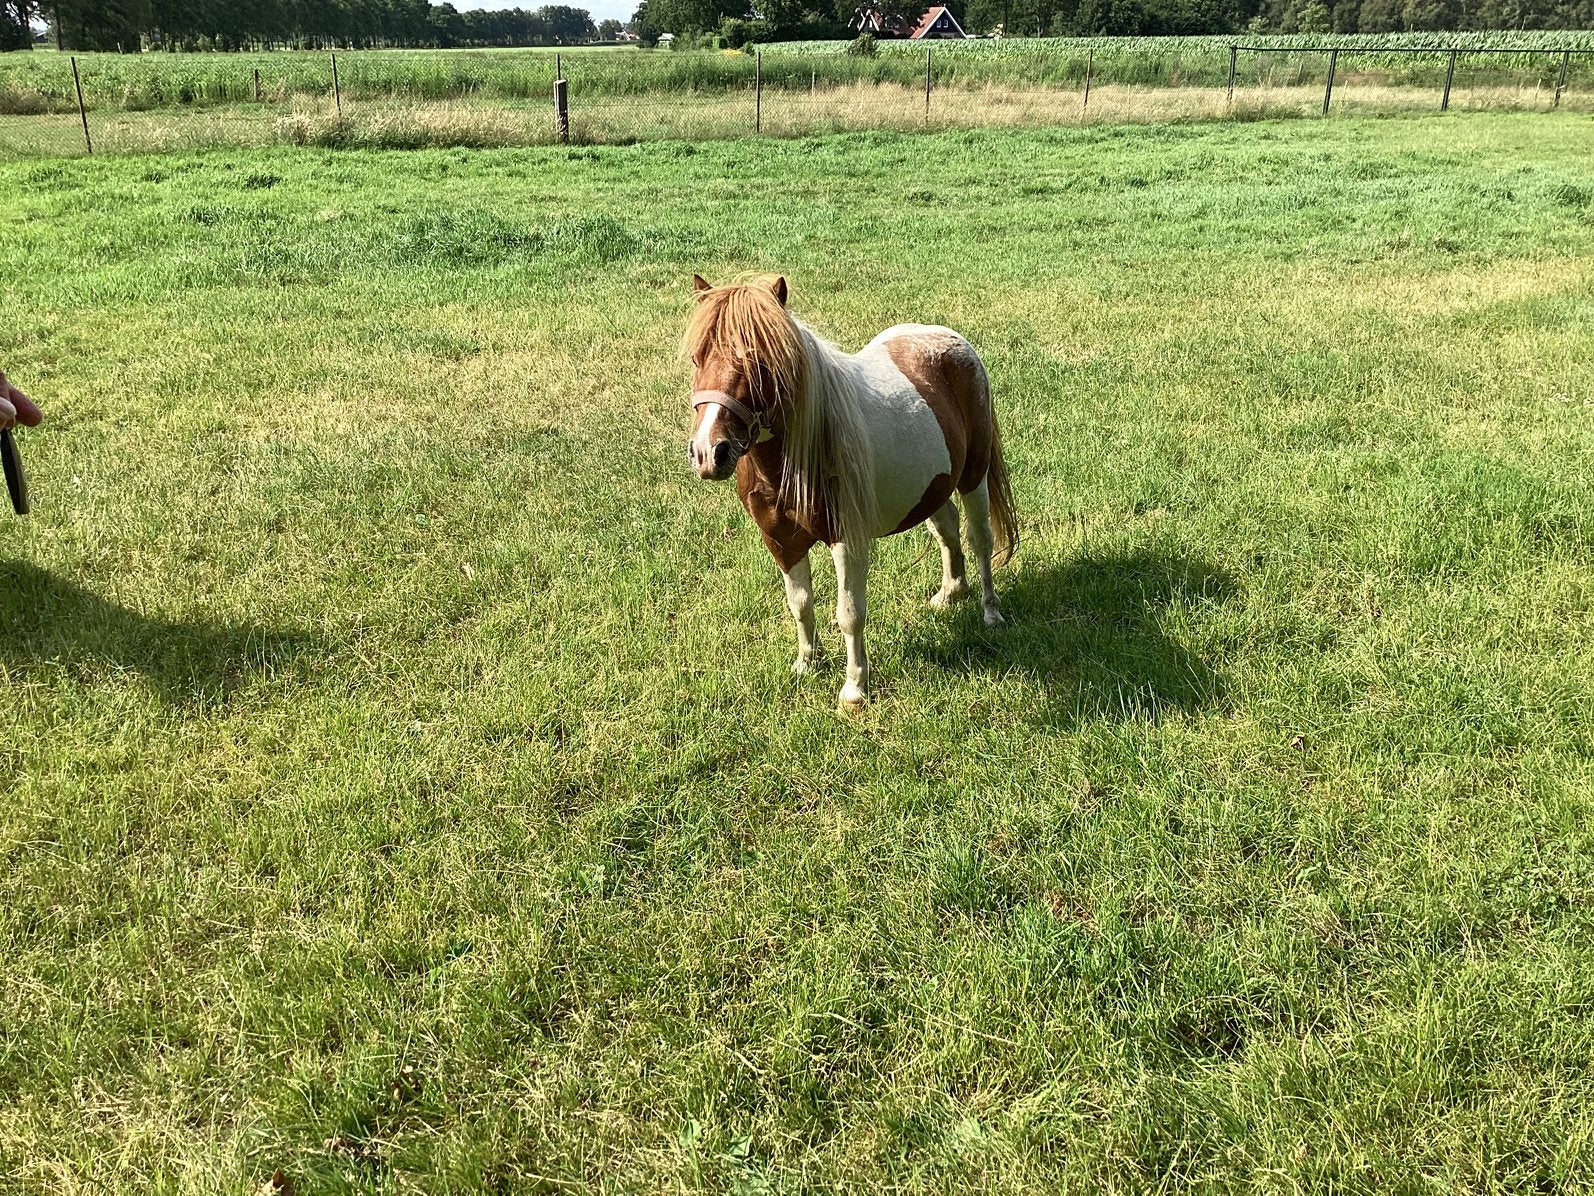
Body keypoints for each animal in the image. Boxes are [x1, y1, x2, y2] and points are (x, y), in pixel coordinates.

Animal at [685, 273, 1018, 708]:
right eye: (696, 358)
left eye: (759, 362)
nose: (710, 453)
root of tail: (951, 339)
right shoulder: (781, 542)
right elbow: (800, 603)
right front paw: (807, 663)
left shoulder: (847, 541)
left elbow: (850, 613)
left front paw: (855, 688)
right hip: (933, 485)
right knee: (947, 530)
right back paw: (950, 594)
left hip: (973, 477)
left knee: (981, 540)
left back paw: (990, 612)